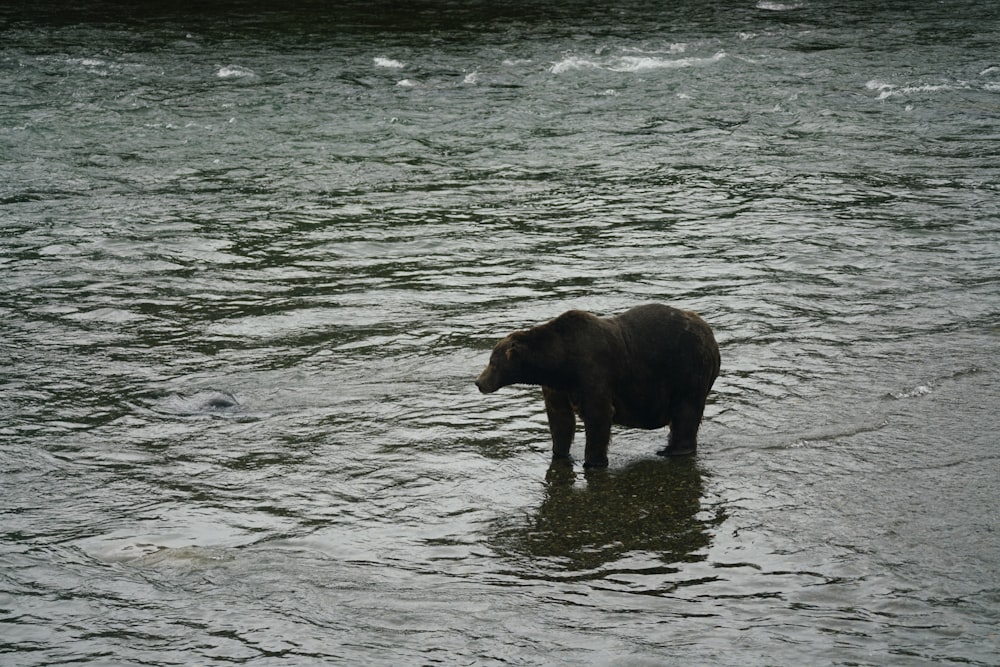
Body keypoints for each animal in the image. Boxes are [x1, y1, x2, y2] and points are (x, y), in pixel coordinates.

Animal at [476, 304, 720, 468]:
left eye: (493, 363)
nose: (479, 382)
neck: (560, 363)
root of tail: (711, 336)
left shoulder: (593, 371)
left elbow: (599, 414)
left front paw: (593, 462)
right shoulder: (557, 387)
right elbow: (560, 419)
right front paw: (559, 452)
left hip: (687, 366)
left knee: (686, 409)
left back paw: (673, 450)